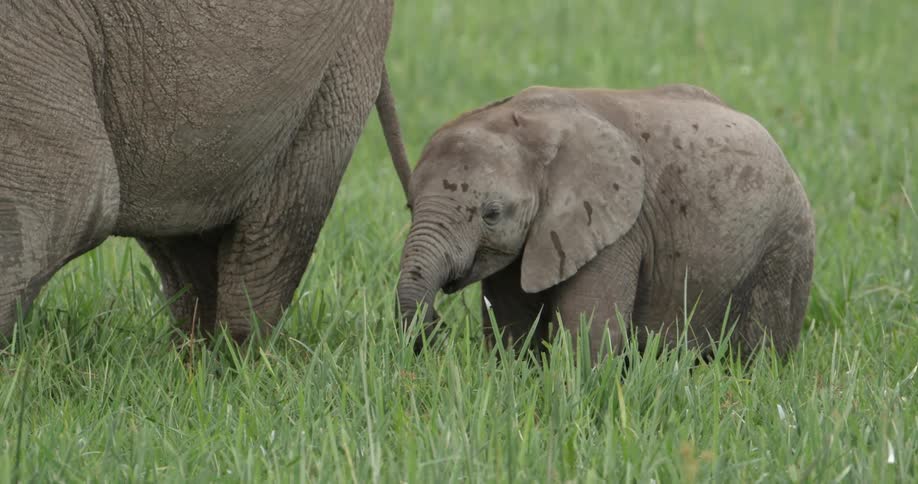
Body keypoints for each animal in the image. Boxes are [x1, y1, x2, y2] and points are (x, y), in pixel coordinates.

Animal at [0, 0, 412, 344]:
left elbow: (75, 204)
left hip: (337, 59)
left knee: (267, 237)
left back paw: (235, 366)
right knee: (184, 244)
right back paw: (193, 364)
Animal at [396, 84, 815, 361]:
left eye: (492, 213)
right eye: (410, 206)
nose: (436, 327)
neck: (525, 125)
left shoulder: (617, 229)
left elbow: (588, 332)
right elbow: (511, 324)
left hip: (785, 242)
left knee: (762, 349)